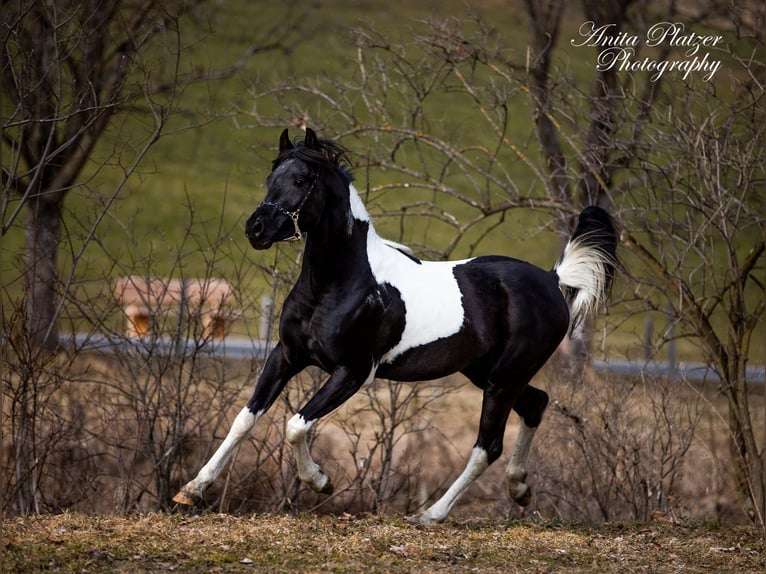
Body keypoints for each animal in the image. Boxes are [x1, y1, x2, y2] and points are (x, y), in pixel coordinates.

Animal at [173, 128, 618, 524]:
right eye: (271, 178)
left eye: (300, 179)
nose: (256, 229)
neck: (337, 284)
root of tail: (552, 279)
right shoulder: (286, 356)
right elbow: (245, 418)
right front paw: (192, 490)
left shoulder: (353, 371)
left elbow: (296, 424)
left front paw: (320, 481)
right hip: (487, 372)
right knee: (536, 404)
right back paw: (519, 488)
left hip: (504, 378)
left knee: (486, 446)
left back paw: (431, 514)